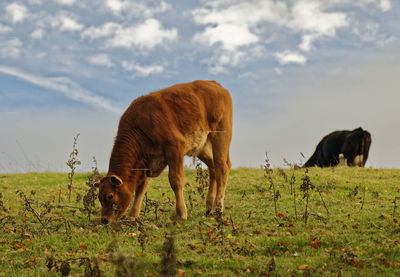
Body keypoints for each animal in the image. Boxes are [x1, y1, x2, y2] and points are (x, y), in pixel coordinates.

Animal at [97, 80, 233, 222]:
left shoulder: (174, 147)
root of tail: (214, 84)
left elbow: (176, 180)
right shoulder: (147, 161)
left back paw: (217, 210)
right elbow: (141, 188)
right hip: (201, 145)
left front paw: (181, 213)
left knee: (222, 167)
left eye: (110, 196)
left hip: (221, 135)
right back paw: (209, 207)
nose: (104, 219)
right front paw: (132, 215)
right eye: (99, 197)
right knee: (213, 167)